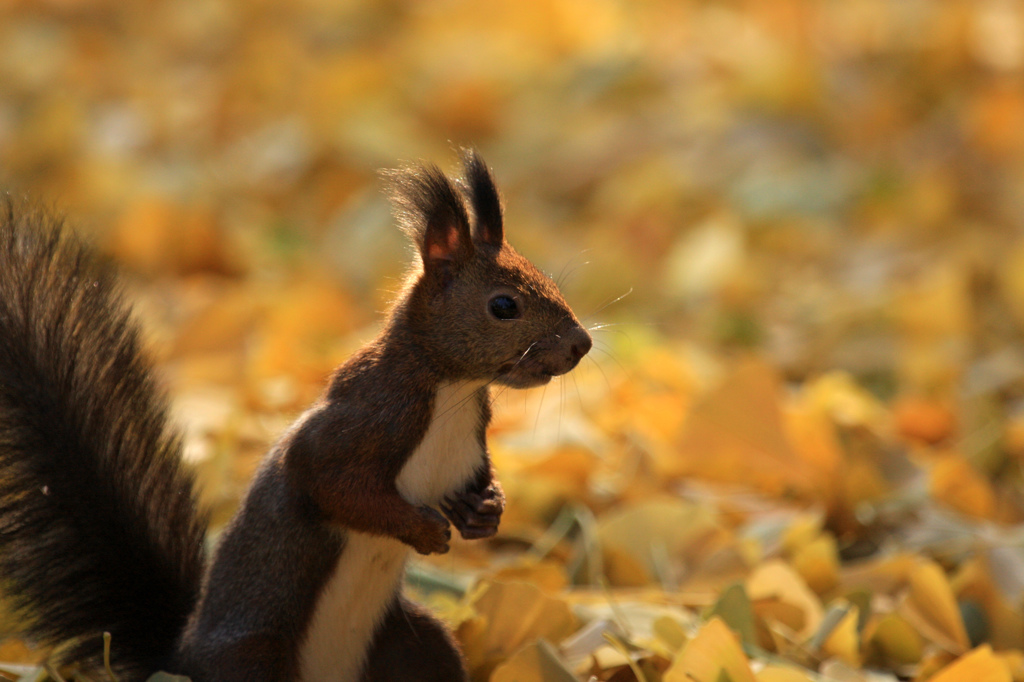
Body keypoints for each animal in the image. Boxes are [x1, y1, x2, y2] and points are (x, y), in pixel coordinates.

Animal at [0, 150, 593, 679]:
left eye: (549, 279)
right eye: (503, 305)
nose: (581, 344)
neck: (452, 387)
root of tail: (178, 662)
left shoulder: (470, 441)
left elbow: (475, 481)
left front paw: (485, 512)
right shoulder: (366, 417)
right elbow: (329, 481)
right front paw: (421, 527)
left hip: (417, 645)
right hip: (255, 659)